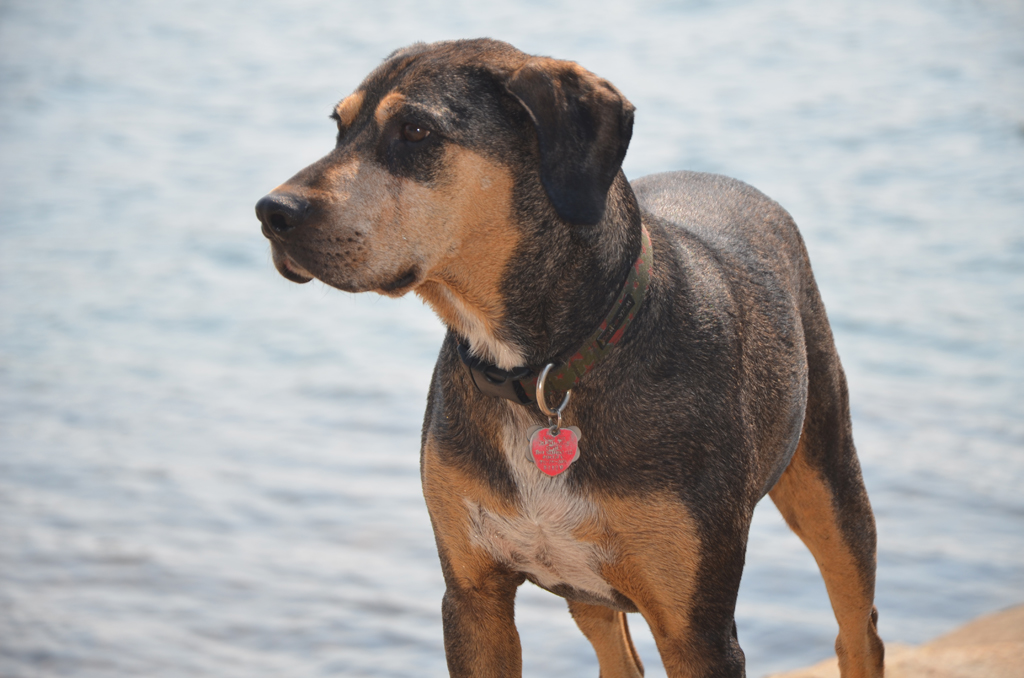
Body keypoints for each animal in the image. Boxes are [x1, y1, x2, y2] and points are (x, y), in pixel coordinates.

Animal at [251, 38, 884, 678]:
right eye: (340, 127)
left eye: (415, 130)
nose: (272, 212)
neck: (539, 372)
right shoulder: (473, 595)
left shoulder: (696, 628)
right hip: (590, 592)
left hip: (829, 484)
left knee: (858, 630)